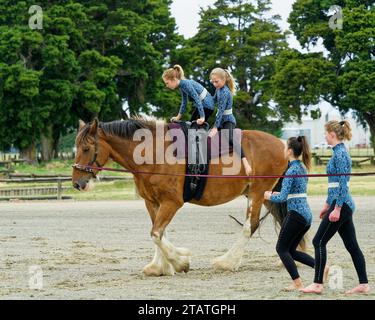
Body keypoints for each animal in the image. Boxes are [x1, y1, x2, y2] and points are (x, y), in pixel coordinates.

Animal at [72, 117, 288, 276]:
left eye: (86, 149)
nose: (76, 183)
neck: (154, 153)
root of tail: (282, 143)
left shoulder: (171, 202)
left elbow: (156, 233)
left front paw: (180, 261)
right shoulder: (152, 202)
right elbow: (159, 232)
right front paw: (160, 266)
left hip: (257, 193)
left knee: (250, 226)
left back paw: (227, 262)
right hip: (267, 195)